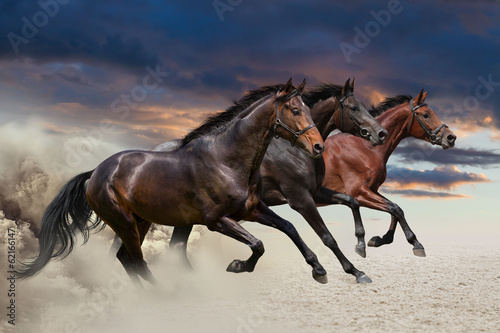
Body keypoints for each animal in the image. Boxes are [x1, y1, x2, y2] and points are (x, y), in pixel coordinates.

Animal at [320, 89, 458, 255]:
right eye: (426, 115)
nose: (451, 137)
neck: (365, 147)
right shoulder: (358, 192)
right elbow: (395, 209)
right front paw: (415, 243)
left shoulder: (371, 190)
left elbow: (395, 209)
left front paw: (381, 239)